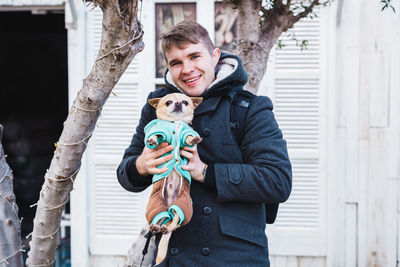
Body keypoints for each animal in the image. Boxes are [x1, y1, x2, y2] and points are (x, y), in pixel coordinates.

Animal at [145, 93, 203, 264]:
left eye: (185, 102)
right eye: (168, 102)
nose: (178, 104)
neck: (175, 123)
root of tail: (169, 207)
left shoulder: (186, 133)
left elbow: (188, 137)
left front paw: (193, 139)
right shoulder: (160, 130)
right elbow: (156, 135)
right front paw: (152, 140)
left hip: (182, 206)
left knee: (174, 224)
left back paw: (165, 228)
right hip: (155, 207)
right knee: (158, 221)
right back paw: (155, 227)